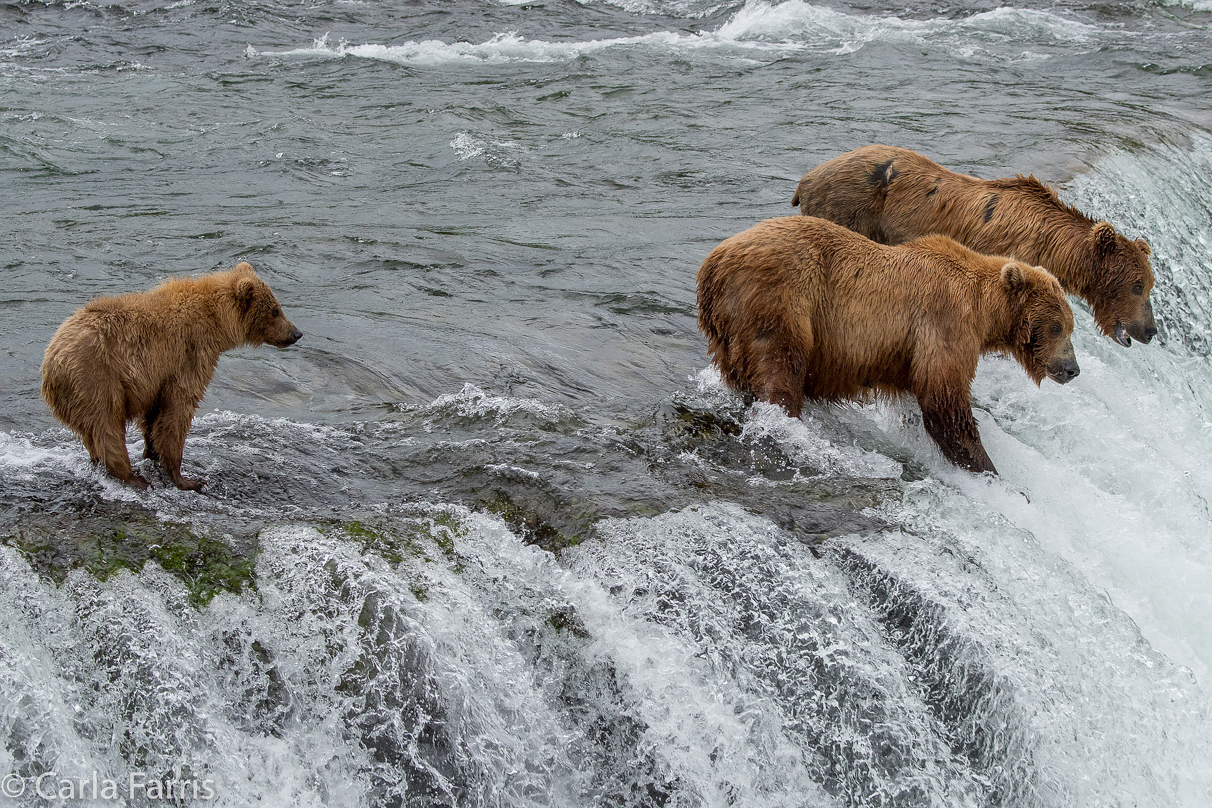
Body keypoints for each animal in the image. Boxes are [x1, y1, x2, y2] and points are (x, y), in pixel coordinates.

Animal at [42, 265, 303, 489]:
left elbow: (154, 415)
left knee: (91, 434)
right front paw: (185, 478)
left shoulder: (157, 376)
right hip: (96, 378)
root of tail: (51, 363)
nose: (297, 332)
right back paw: (131, 476)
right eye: (274, 311)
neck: (216, 322)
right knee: (107, 426)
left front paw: (152, 454)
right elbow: (177, 410)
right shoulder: (189, 355)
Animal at [698, 218, 1085, 477]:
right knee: (780, 370)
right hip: (780, 302)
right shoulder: (945, 323)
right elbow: (945, 401)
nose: (1072, 369)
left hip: (727, 337)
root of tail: (712, 265)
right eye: (1056, 326)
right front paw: (993, 472)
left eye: (1070, 327)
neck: (984, 311)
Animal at [790, 145, 1158, 348]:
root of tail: (807, 176)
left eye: (1149, 284)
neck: (1053, 247)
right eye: (1137, 285)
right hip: (849, 205)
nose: (1150, 330)